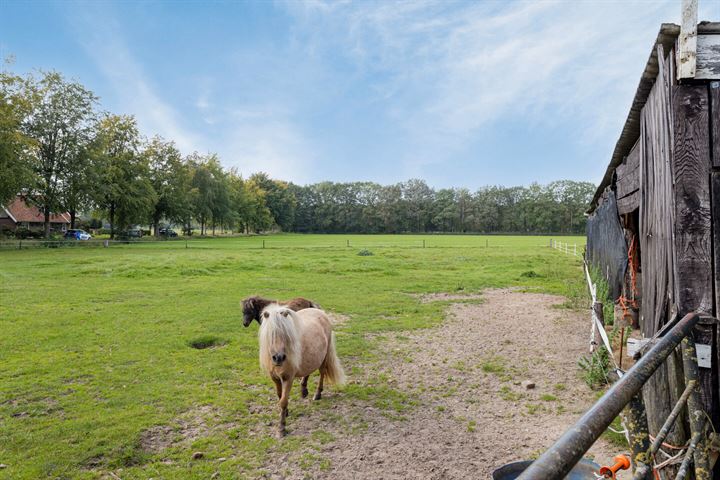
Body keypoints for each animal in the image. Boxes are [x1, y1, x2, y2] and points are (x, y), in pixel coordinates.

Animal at [258, 306, 346, 436]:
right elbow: (280, 396)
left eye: (286, 334)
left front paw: (281, 428)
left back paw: (317, 394)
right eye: (271, 334)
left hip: (324, 358)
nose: (278, 357)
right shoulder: (275, 378)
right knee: (307, 371)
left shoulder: (288, 379)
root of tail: (319, 311)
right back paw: (304, 390)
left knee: (322, 373)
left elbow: (283, 401)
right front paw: (286, 413)